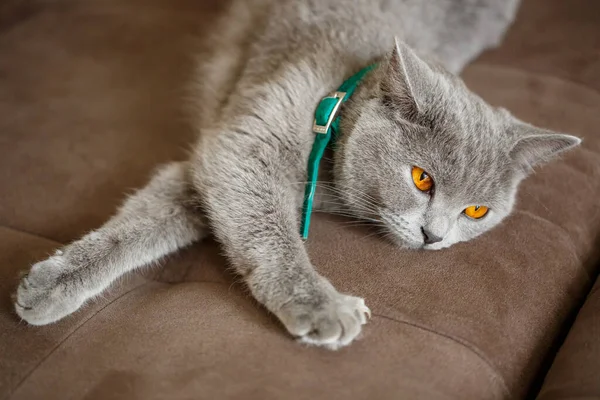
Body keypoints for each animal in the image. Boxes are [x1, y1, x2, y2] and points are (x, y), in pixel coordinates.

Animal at [14, 0, 580, 350]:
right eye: (422, 179)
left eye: (476, 211)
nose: (433, 236)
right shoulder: (242, 148)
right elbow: (251, 233)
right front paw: (321, 305)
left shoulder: (222, 160)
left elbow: (157, 220)